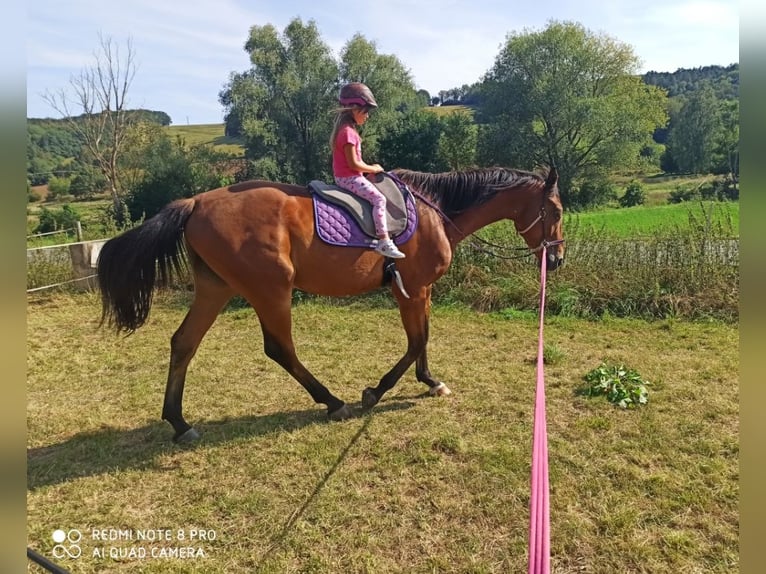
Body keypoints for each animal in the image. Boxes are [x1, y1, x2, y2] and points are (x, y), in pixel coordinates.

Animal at [96, 168, 568, 446]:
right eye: (557, 209)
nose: (558, 258)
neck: (436, 210)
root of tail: (196, 202)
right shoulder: (410, 290)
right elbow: (416, 341)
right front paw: (375, 392)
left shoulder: (422, 292)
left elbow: (423, 341)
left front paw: (430, 381)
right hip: (271, 291)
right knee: (279, 349)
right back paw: (332, 401)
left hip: (217, 289)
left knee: (183, 343)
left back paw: (179, 422)